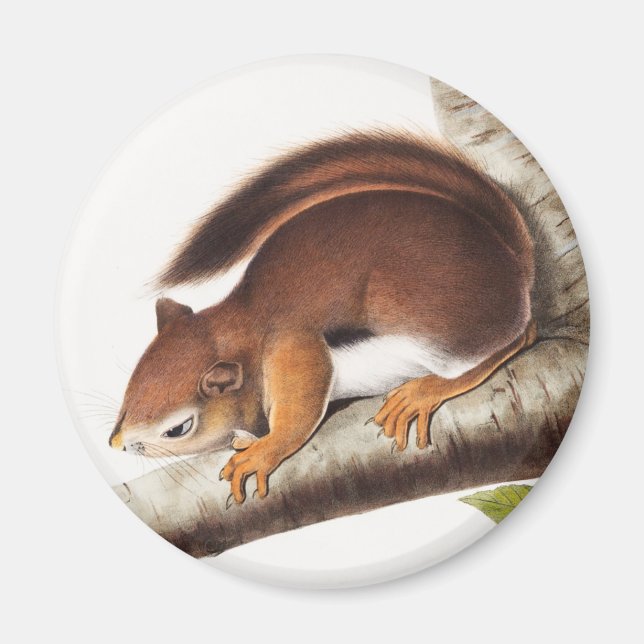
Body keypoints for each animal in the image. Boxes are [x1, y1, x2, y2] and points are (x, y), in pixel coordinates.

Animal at [109, 131, 537, 504]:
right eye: (132, 386)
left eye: (177, 429)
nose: (116, 443)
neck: (242, 329)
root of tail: (514, 266)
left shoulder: (293, 348)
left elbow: (298, 411)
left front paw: (263, 451)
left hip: (438, 324)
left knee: (519, 337)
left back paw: (423, 392)